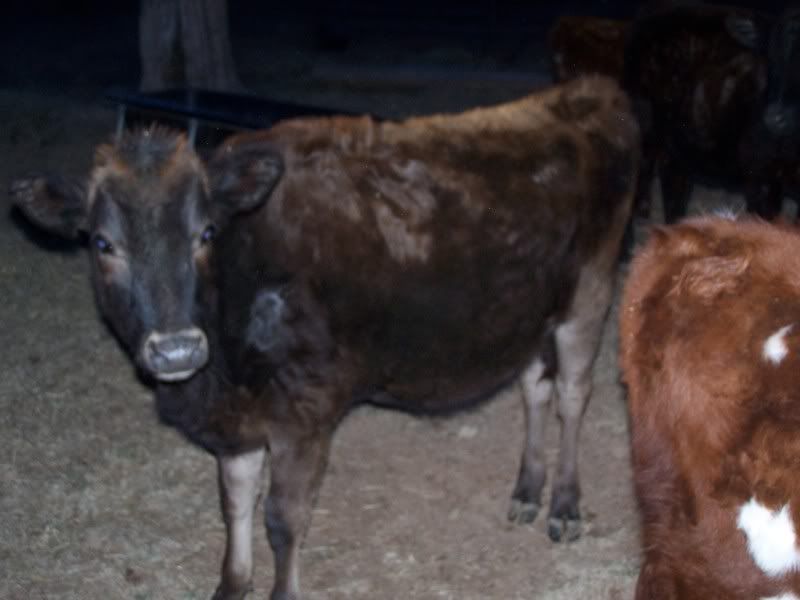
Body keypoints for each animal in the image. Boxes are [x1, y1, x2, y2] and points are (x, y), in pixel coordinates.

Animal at [10, 75, 638, 600]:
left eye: (205, 232)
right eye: (102, 243)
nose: (176, 348)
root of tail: (580, 93)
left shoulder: (303, 411)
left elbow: (283, 519)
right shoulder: (238, 421)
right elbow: (234, 503)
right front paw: (230, 585)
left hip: (589, 292)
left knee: (572, 396)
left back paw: (564, 504)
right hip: (530, 312)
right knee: (536, 387)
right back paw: (527, 491)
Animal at [624, 3, 800, 225]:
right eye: (770, 58)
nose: (773, 116)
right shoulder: (760, 175)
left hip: (678, 140)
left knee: (671, 174)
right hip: (643, 120)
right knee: (643, 167)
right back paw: (640, 212)